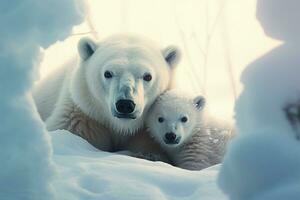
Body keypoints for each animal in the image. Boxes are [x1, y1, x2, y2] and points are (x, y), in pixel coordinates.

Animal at [34, 34, 182, 152]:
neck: (122, 127)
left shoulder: (147, 133)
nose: (125, 104)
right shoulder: (84, 116)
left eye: (148, 76)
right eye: (107, 73)